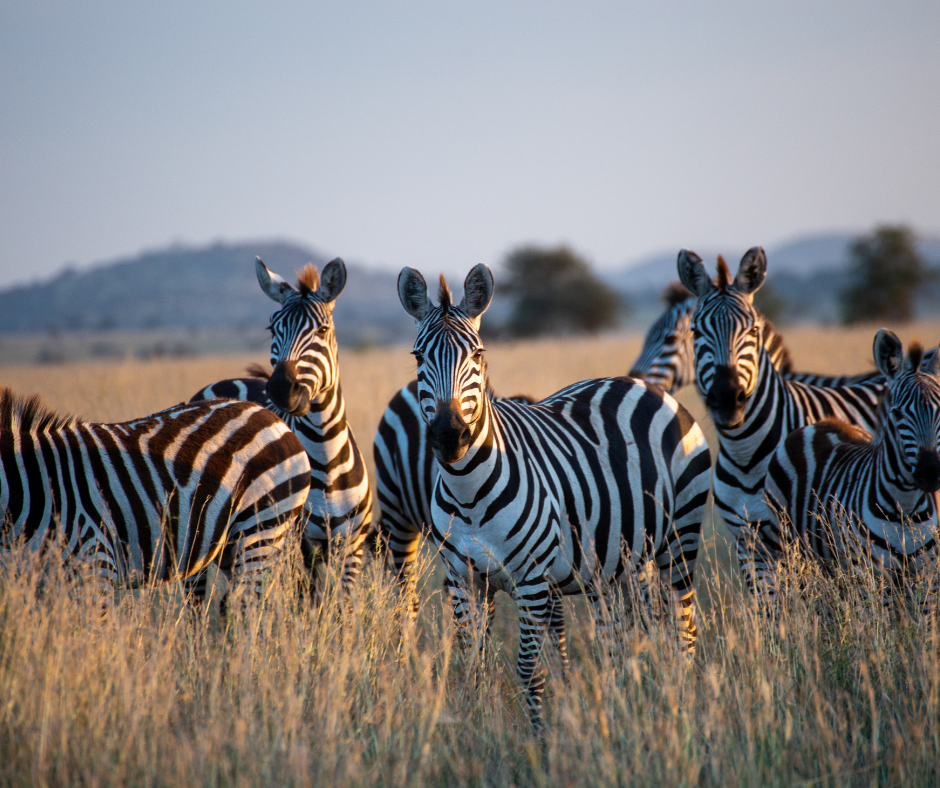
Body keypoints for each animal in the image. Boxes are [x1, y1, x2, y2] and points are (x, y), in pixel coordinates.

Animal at [0, 389, 311, 608]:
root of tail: (271, 416)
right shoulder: (34, 583)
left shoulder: (94, 563)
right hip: (230, 544)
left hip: (261, 527)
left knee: (251, 609)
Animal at [191, 257, 373, 594]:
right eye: (272, 327)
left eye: (323, 329)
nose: (280, 388)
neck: (326, 457)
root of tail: (226, 382)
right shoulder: (299, 548)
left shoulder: (351, 548)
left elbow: (341, 606)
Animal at [398, 263, 712, 729]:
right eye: (418, 358)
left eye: (478, 355)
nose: (450, 436)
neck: (468, 493)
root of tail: (645, 387)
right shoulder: (463, 580)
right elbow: (473, 666)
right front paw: (476, 730)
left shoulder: (531, 581)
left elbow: (529, 669)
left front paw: (539, 739)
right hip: (619, 563)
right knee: (620, 639)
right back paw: (623, 706)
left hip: (680, 539)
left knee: (682, 627)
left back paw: (683, 704)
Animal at [677, 247, 890, 606]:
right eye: (695, 332)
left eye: (752, 331)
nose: (727, 397)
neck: (745, 453)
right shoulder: (749, 544)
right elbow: (771, 609)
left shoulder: (800, 541)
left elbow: (809, 608)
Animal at [764, 329, 940, 613]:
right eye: (897, 414)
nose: (930, 472)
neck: (905, 508)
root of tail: (820, 424)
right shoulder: (872, 577)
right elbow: (880, 623)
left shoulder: (927, 579)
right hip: (789, 548)